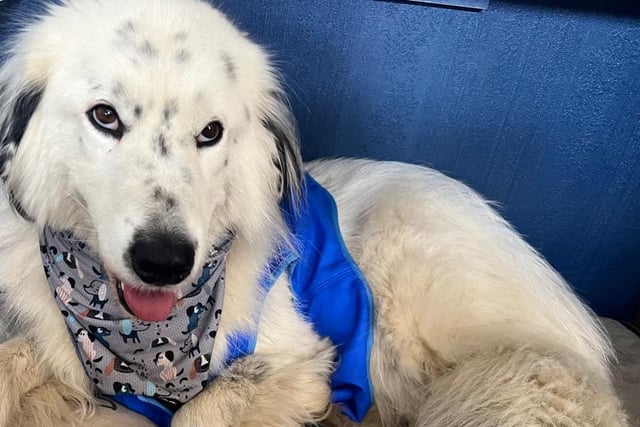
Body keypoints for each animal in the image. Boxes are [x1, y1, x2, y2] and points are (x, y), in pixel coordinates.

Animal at [0, 0, 632, 427]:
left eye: (211, 133)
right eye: (104, 116)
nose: (165, 262)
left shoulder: (302, 359)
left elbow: (200, 411)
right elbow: (17, 358)